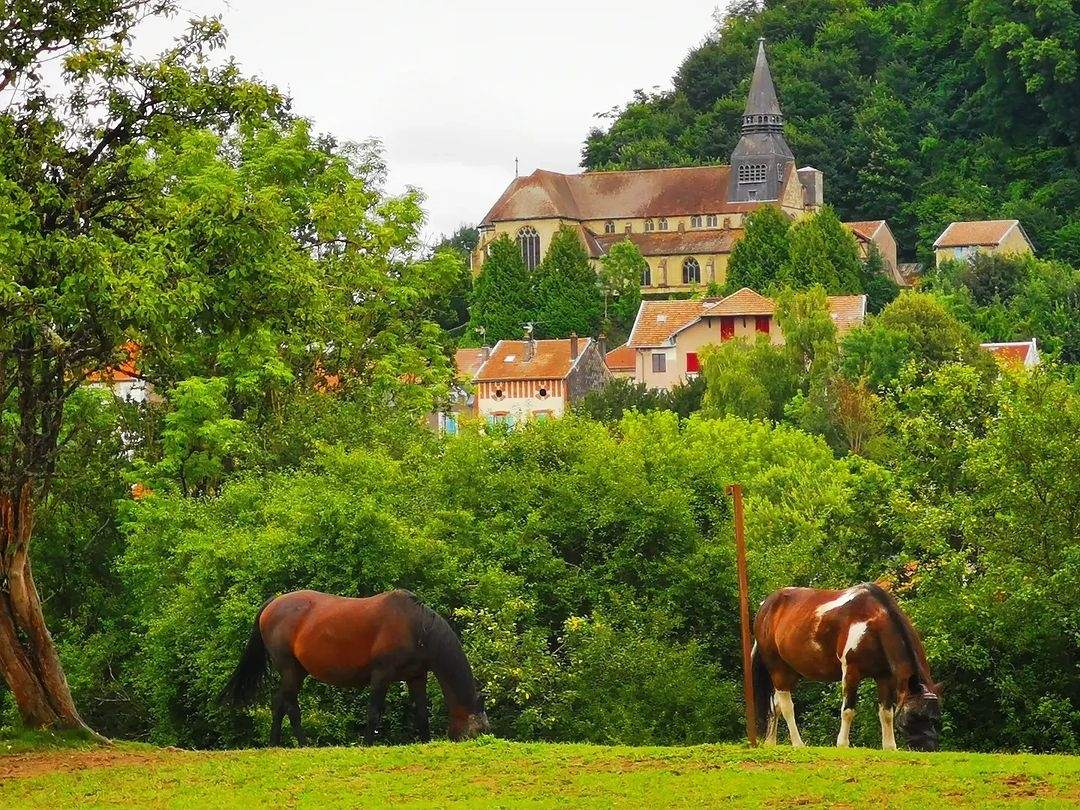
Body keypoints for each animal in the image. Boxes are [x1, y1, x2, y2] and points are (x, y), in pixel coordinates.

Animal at [219, 591, 490, 747]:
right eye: (479, 731)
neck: (417, 627)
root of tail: (272, 603)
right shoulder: (381, 675)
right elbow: (374, 712)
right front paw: (368, 744)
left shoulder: (416, 676)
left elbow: (422, 713)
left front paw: (425, 742)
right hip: (290, 670)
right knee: (290, 706)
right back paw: (304, 743)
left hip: (296, 672)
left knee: (279, 703)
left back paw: (274, 743)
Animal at [756, 583, 941, 756]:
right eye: (915, 715)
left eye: (935, 717)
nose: (929, 748)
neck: (873, 623)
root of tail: (766, 605)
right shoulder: (851, 672)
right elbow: (848, 710)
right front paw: (843, 744)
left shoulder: (885, 676)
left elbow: (886, 713)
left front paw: (889, 747)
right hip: (777, 669)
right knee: (787, 707)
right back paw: (797, 743)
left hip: (791, 672)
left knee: (775, 705)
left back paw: (770, 742)